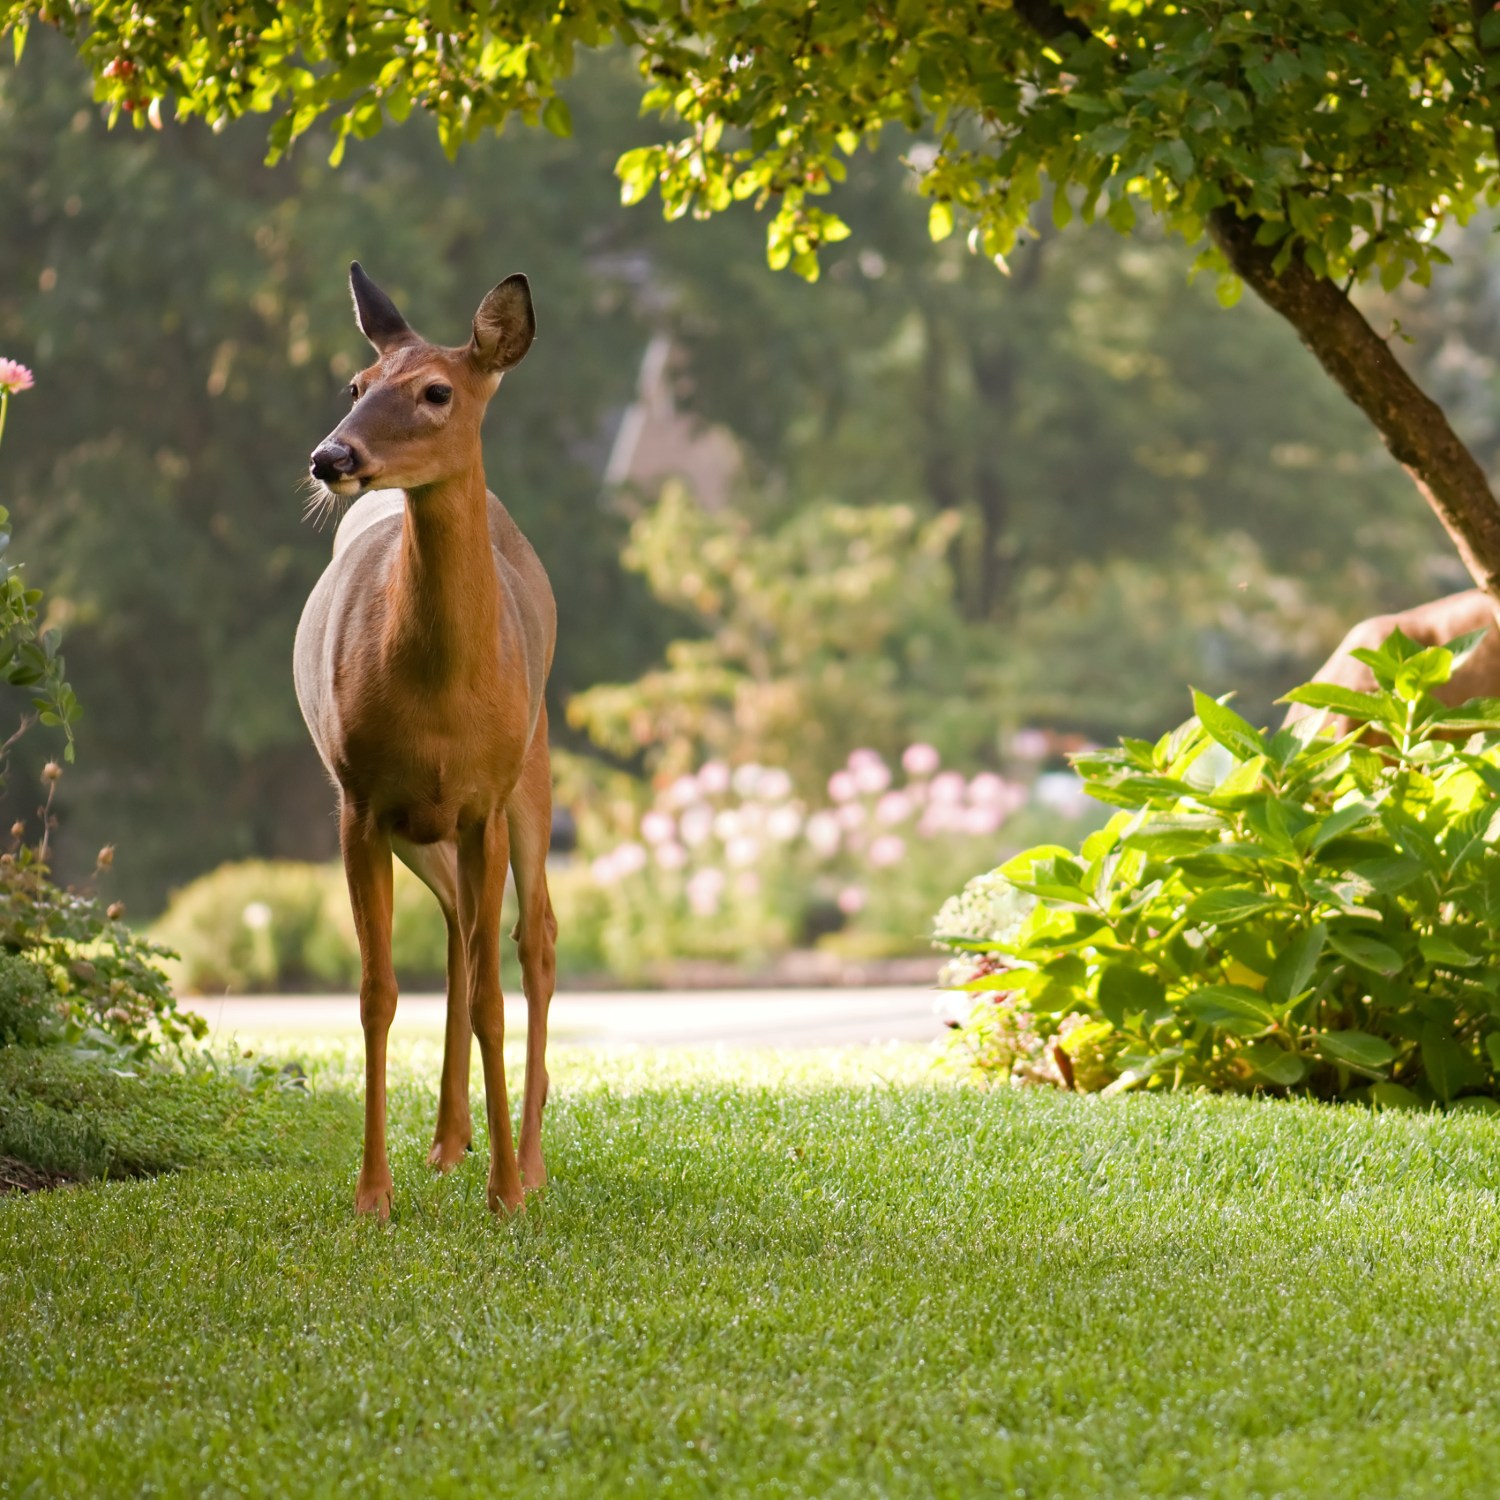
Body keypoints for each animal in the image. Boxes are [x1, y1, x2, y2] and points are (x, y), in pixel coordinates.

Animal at [292, 261, 558, 1218]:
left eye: (438, 391)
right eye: (357, 384)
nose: (331, 458)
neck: (442, 695)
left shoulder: (485, 797)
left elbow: (492, 998)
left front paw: (507, 1195)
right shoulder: (358, 801)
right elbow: (377, 993)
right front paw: (374, 1193)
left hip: (533, 771)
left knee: (534, 939)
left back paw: (528, 1158)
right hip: (418, 826)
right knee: (455, 932)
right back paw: (449, 1141)